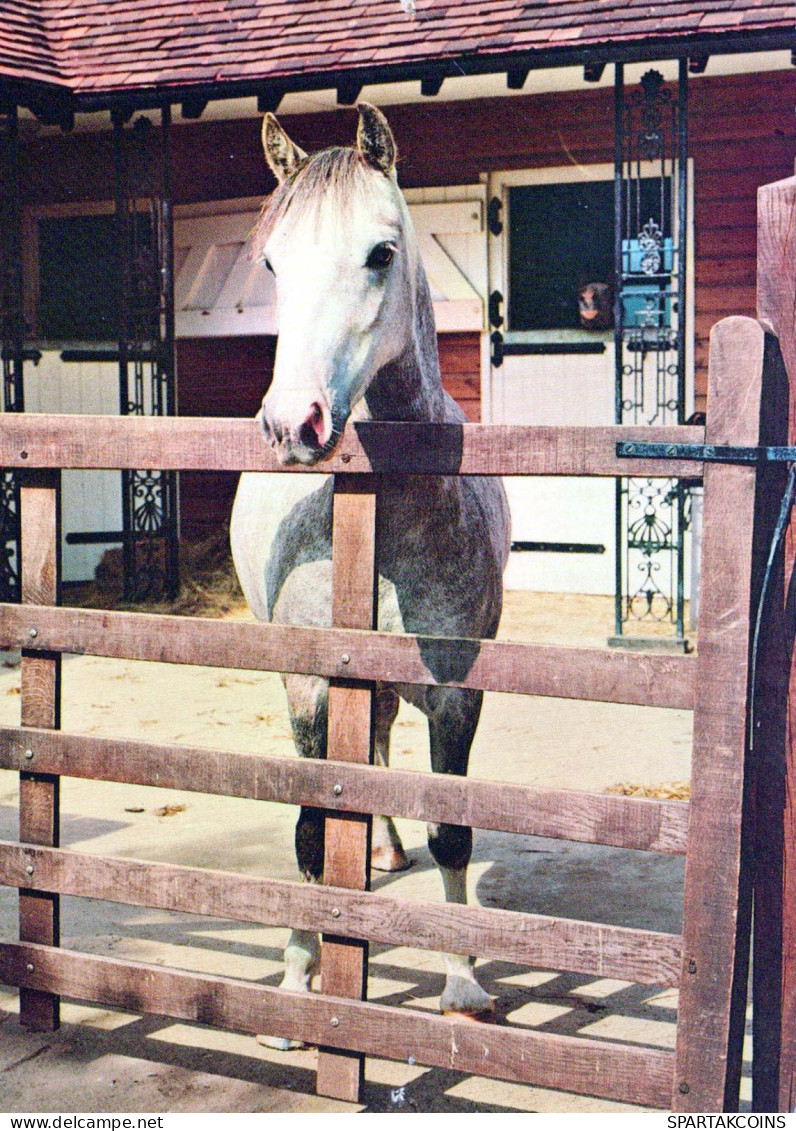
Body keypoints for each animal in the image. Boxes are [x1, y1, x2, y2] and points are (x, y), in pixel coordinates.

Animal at [231, 101, 511, 1045]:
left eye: (380, 252)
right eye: (273, 260)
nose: (294, 424)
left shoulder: (457, 692)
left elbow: (453, 836)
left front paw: (462, 983)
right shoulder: (312, 687)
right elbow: (314, 832)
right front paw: (295, 980)